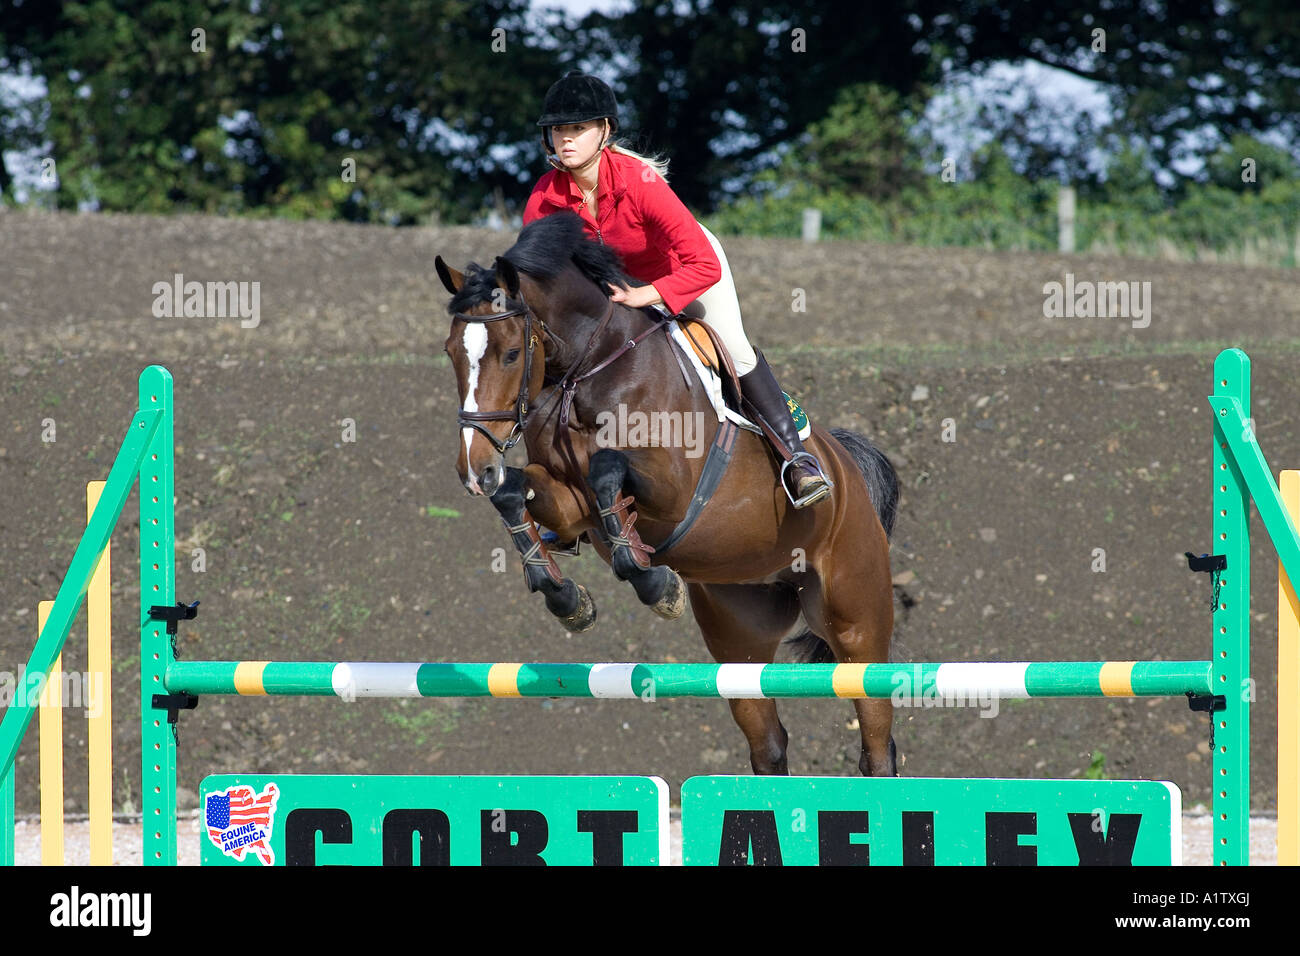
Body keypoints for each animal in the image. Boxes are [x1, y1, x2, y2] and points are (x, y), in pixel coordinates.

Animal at [434, 210, 894, 780]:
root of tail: (847, 466)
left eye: (512, 353)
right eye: (450, 353)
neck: (588, 370)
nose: (475, 470)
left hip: (857, 623)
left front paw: (657, 587)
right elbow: (522, 496)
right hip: (739, 633)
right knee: (768, 742)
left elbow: (607, 473)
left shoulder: (676, 489)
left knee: (877, 740)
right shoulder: (570, 503)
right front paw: (567, 597)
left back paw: (805, 478)